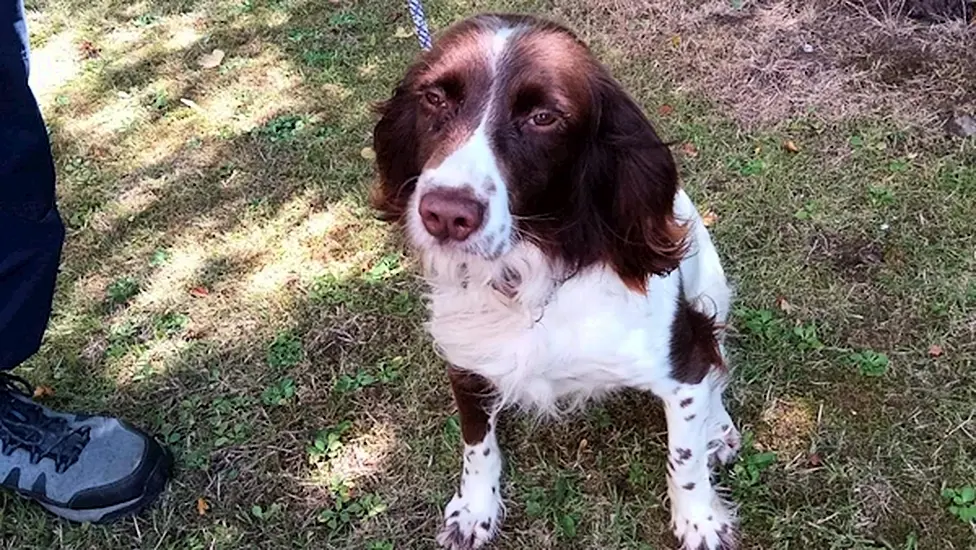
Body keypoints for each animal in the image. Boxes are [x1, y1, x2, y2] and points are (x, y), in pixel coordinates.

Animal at [372, 12, 740, 550]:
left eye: (544, 117)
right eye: (434, 98)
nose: (445, 214)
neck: (527, 276)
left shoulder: (681, 367)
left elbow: (685, 457)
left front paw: (700, 520)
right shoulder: (465, 362)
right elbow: (476, 445)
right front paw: (475, 510)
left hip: (712, 286)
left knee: (718, 357)